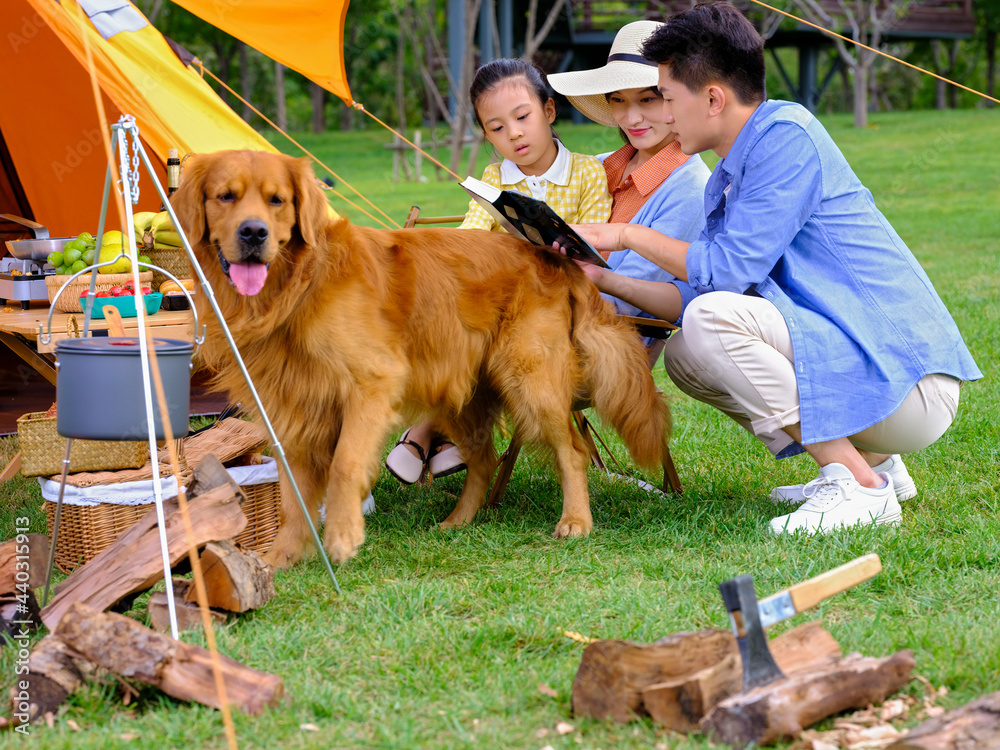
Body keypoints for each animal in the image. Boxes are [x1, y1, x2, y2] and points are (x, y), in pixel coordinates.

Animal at [172, 150, 672, 568]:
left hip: (532, 384)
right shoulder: (292, 408)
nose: (253, 233)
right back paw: (459, 519)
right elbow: (292, 498)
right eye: (225, 196)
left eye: (277, 200)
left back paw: (575, 521)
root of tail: (554, 256)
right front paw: (281, 558)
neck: (296, 287)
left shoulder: (370, 385)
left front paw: (342, 538)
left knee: (572, 451)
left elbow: (345, 465)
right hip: (459, 393)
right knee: (485, 459)